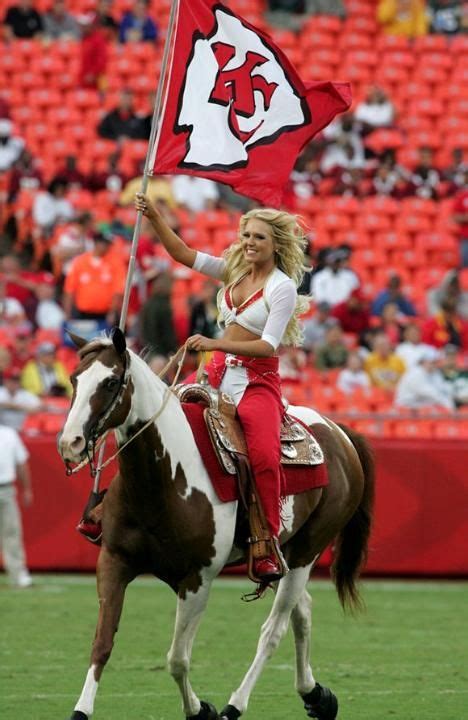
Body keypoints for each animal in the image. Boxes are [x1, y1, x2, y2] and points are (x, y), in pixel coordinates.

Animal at [58, 330, 374, 720]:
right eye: (75, 379)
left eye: (111, 381)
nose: (69, 442)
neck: (164, 477)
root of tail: (338, 431)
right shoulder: (114, 562)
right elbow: (102, 643)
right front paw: (81, 710)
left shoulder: (198, 579)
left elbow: (177, 659)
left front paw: (200, 710)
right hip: (283, 557)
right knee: (303, 612)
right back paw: (315, 694)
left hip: (306, 552)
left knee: (274, 630)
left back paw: (235, 704)